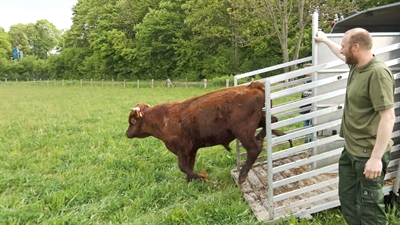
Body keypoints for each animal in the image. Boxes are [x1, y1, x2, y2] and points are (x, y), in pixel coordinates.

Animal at [125, 81, 284, 184]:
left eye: (132, 121)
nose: (127, 133)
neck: (163, 118)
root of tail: (252, 86)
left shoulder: (181, 149)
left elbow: (183, 167)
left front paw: (201, 177)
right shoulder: (191, 149)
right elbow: (189, 165)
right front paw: (190, 181)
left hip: (244, 132)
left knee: (254, 148)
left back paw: (242, 176)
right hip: (261, 119)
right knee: (273, 120)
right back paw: (262, 135)